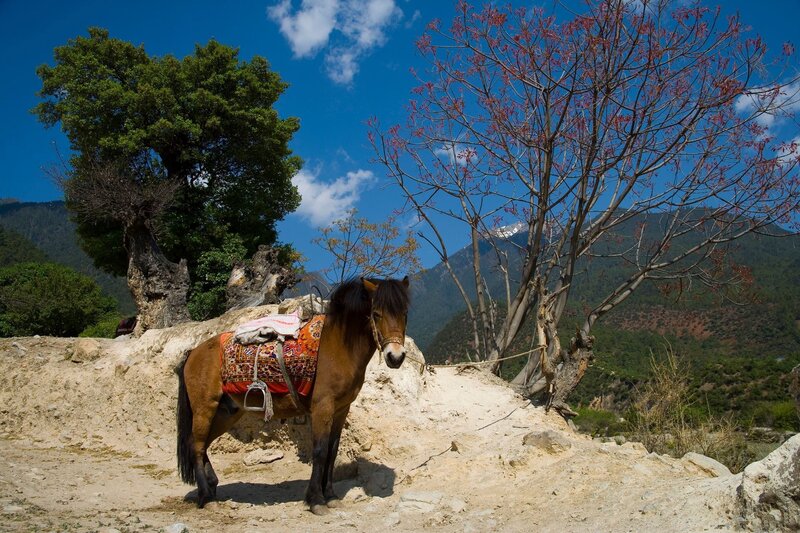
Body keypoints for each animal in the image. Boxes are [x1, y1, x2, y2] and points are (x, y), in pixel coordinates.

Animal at [176, 276, 410, 514]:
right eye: (377, 314)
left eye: (404, 313)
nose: (395, 357)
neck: (339, 347)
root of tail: (194, 352)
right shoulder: (322, 407)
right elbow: (320, 451)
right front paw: (316, 499)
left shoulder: (341, 410)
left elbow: (332, 451)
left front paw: (330, 495)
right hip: (205, 408)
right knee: (196, 446)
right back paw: (207, 497)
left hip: (227, 412)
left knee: (202, 443)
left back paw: (211, 486)